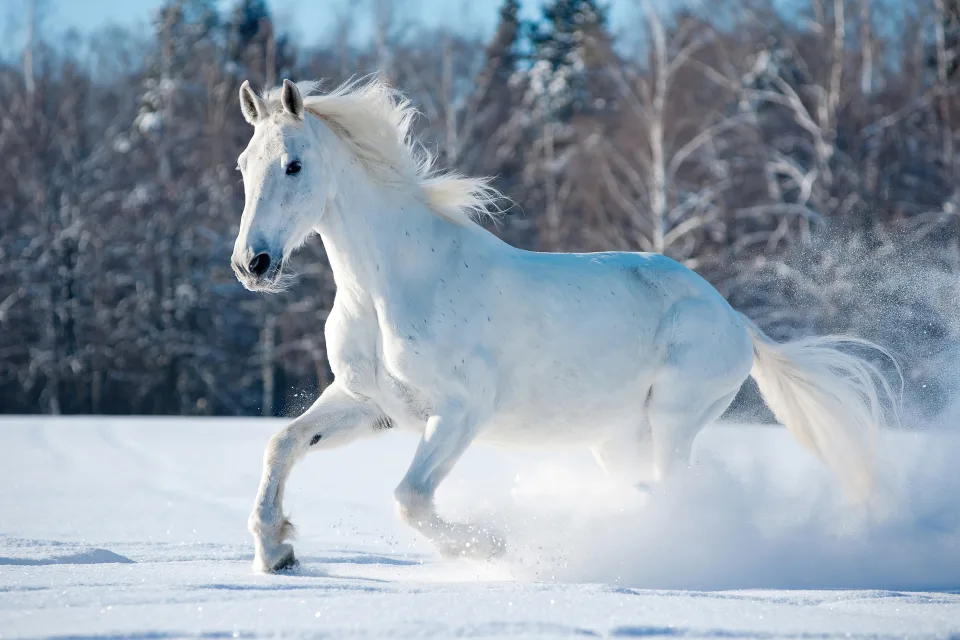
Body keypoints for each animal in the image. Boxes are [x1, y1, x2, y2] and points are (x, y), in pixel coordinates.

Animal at [231, 77, 899, 573]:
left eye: (293, 165)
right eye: (243, 165)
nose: (252, 264)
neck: (391, 286)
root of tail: (735, 319)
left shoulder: (461, 410)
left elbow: (410, 499)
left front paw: (489, 547)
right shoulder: (370, 403)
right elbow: (281, 444)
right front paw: (277, 551)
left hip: (675, 419)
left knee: (674, 493)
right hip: (617, 439)